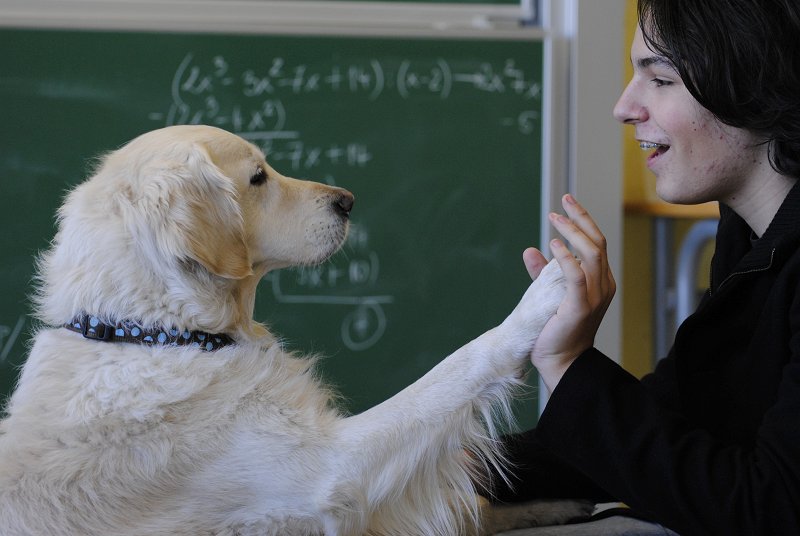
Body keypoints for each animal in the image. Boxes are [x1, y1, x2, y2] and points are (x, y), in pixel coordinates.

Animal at [0, 126, 588, 536]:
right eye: (258, 177)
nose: (348, 200)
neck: (155, 332)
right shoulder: (333, 472)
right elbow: (458, 367)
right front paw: (542, 297)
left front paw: (557, 504)